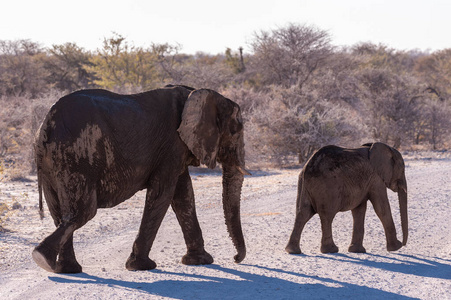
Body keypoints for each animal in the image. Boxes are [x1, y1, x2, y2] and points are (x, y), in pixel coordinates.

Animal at [31, 85, 251, 274]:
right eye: (235, 131)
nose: (235, 259)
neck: (195, 93)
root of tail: (46, 126)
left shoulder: (176, 149)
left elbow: (183, 196)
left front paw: (200, 261)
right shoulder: (172, 145)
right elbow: (163, 193)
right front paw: (141, 266)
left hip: (54, 162)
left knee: (59, 212)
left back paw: (64, 269)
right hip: (77, 156)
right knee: (83, 211)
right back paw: (43, 259)